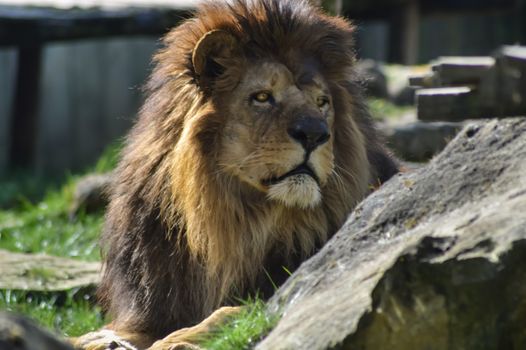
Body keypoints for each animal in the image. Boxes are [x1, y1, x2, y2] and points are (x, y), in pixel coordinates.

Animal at [75, 1, 400, 348]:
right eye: (262, 97)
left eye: (322, 102)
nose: (315, 134)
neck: (234, 225)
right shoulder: (152, 309)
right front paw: (100, 339)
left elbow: (234, 311)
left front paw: (174, 340)